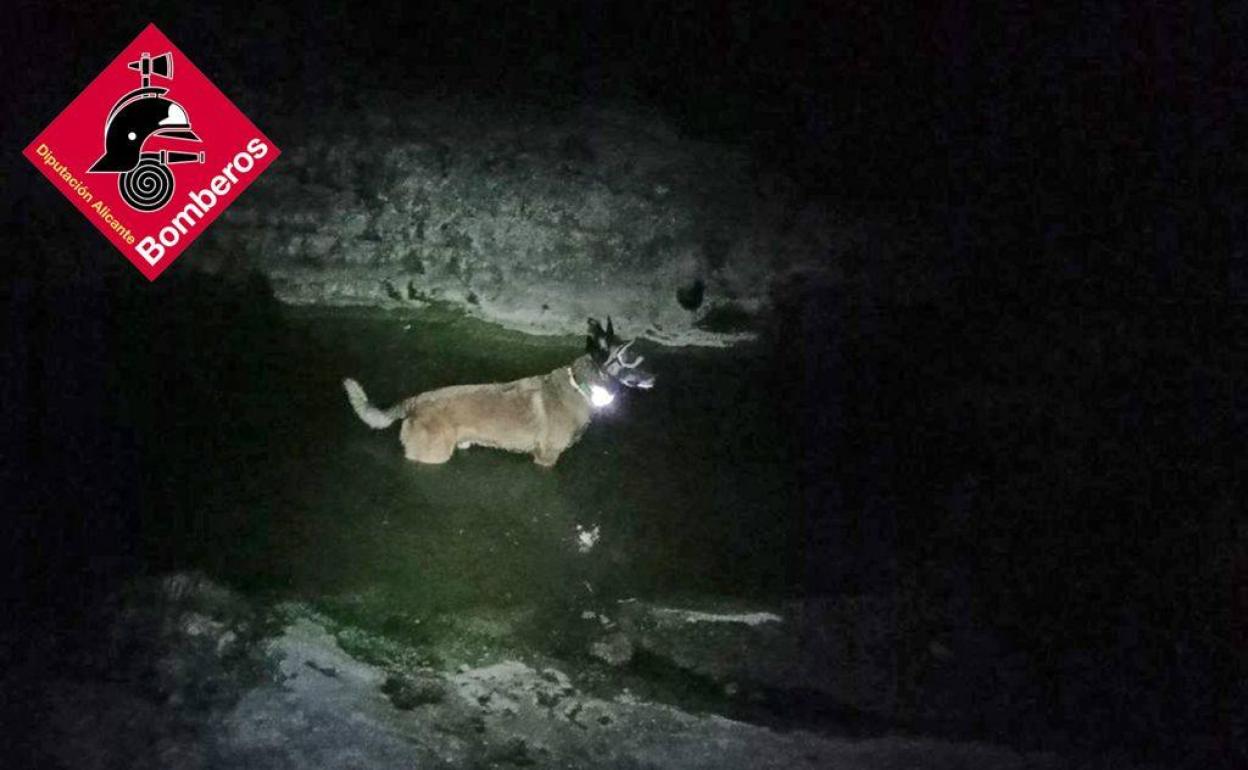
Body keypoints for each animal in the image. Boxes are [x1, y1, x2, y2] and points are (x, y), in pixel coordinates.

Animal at [341, 316, 653, 464]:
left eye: (637, 357)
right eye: (629, 360)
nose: (654, 378)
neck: (581, 385)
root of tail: (415, 401)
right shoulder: (546, 457)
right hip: (432, 455)